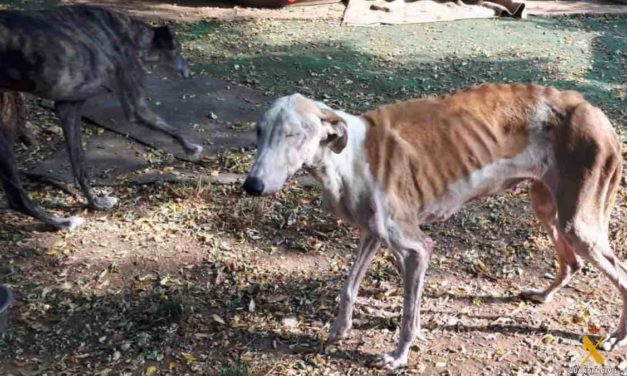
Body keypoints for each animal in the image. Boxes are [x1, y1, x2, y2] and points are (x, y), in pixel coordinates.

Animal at [0, 5, 201, 229]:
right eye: (178, 49)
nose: (189, 73)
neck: (130, 36)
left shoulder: (68, 107)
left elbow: (80, 165)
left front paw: (95, 202)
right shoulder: (136, 107)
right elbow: (172, 128)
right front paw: (190, 147)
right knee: (17, 198)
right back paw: (62, 222)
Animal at [243, 83, 624, 368]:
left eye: (293, 134)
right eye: (259, 131)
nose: (251, 186)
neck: (346, 157)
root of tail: (597, 114)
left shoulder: (416, 248)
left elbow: (408, 314)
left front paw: (397, 357)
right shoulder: (374, 235)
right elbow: (350, 288)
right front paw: (340, 329)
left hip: (579, 225)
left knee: (618, 276)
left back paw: (616, 337)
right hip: (547, 207)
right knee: (571, 262)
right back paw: (543, 295)